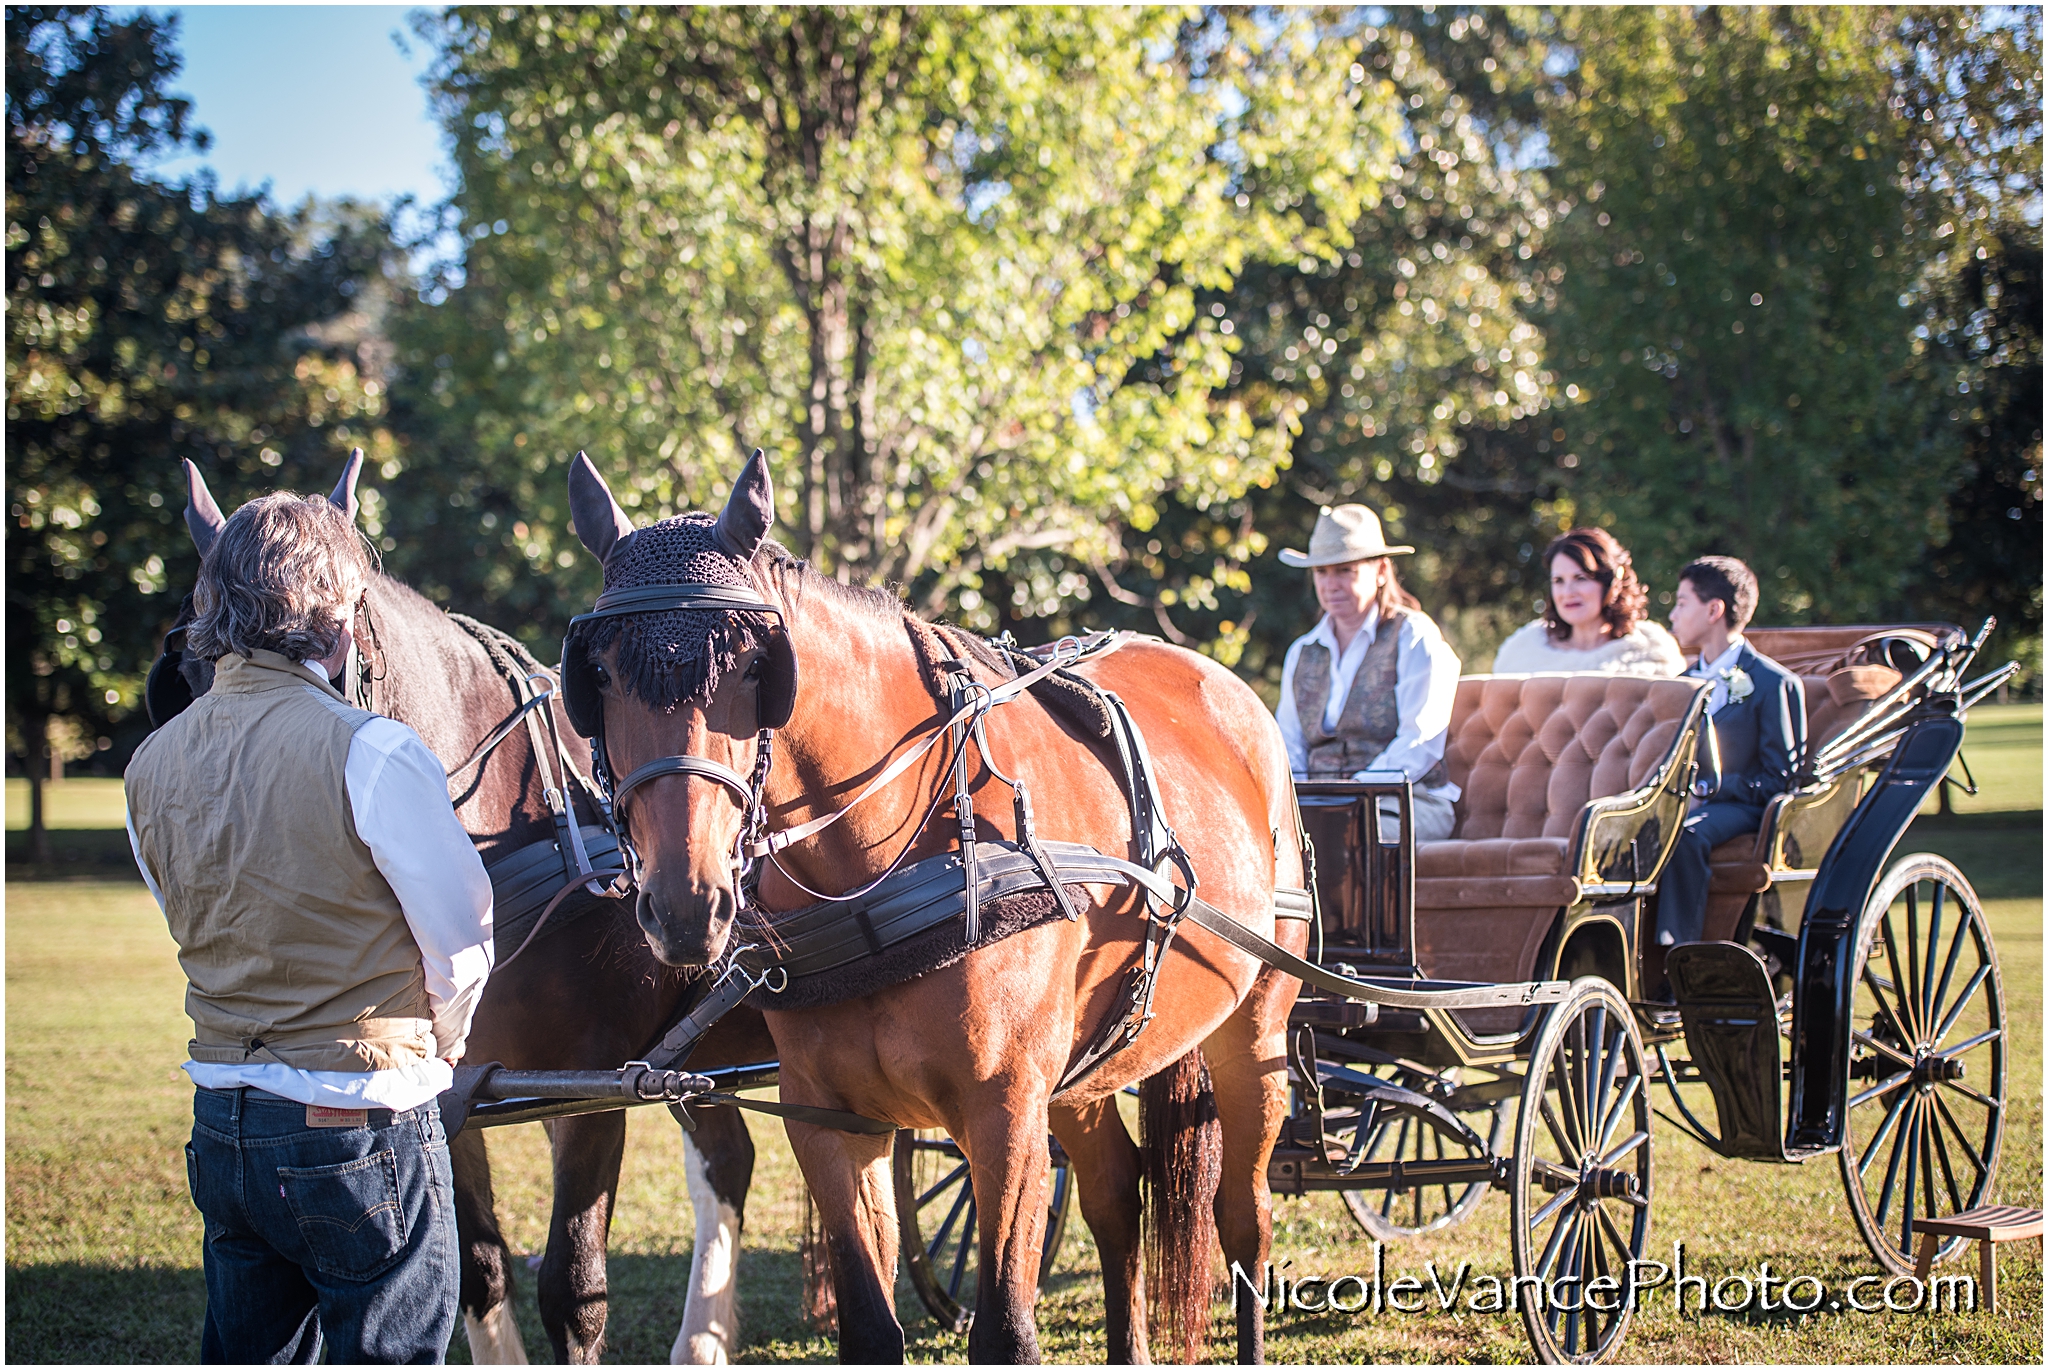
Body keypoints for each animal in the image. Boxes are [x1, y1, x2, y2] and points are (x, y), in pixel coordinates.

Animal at [161, 458, 774, 1359]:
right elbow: (479, 1270)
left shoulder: (596, 1092)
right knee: (729, 1159)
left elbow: (574, 1289)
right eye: (193, 676)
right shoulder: (451, 1094)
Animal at [557, 450, 1310, 1359]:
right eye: (598, 677)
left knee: (1245, 1219)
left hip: (1254, 1030)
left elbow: (1005, 1331)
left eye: (754, 669)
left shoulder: (1006, 1117)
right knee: (1115, 1197)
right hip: (1083, 1076)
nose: (685, 903)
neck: (876, 875)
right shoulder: (832, 1124)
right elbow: (870, 1326)